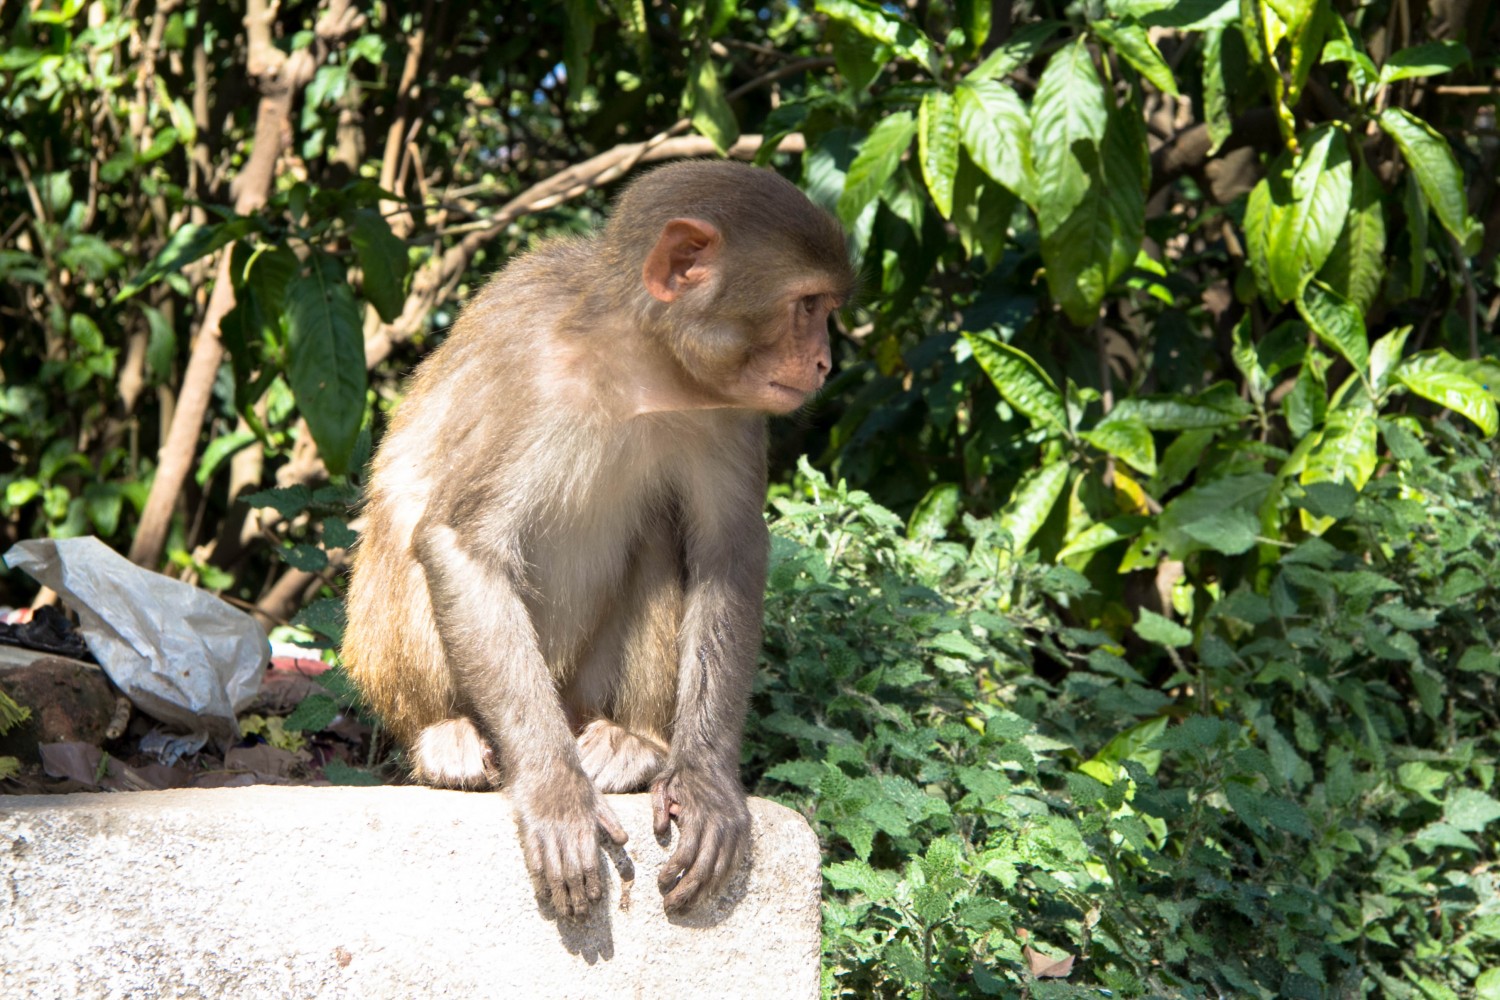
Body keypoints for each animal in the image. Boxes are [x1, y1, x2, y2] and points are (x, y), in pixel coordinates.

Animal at [343, 160, 858, 917]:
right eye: (807, 306)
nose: (823, 363)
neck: (638, 367)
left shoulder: (728, 409)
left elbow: (728, 553)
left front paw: (705, 780)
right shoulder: (528, 365)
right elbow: (461, 544)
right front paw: (556, 792)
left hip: (582, 688)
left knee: (662, 531)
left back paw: (633, 742)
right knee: (405, 521)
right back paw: (447, 736)